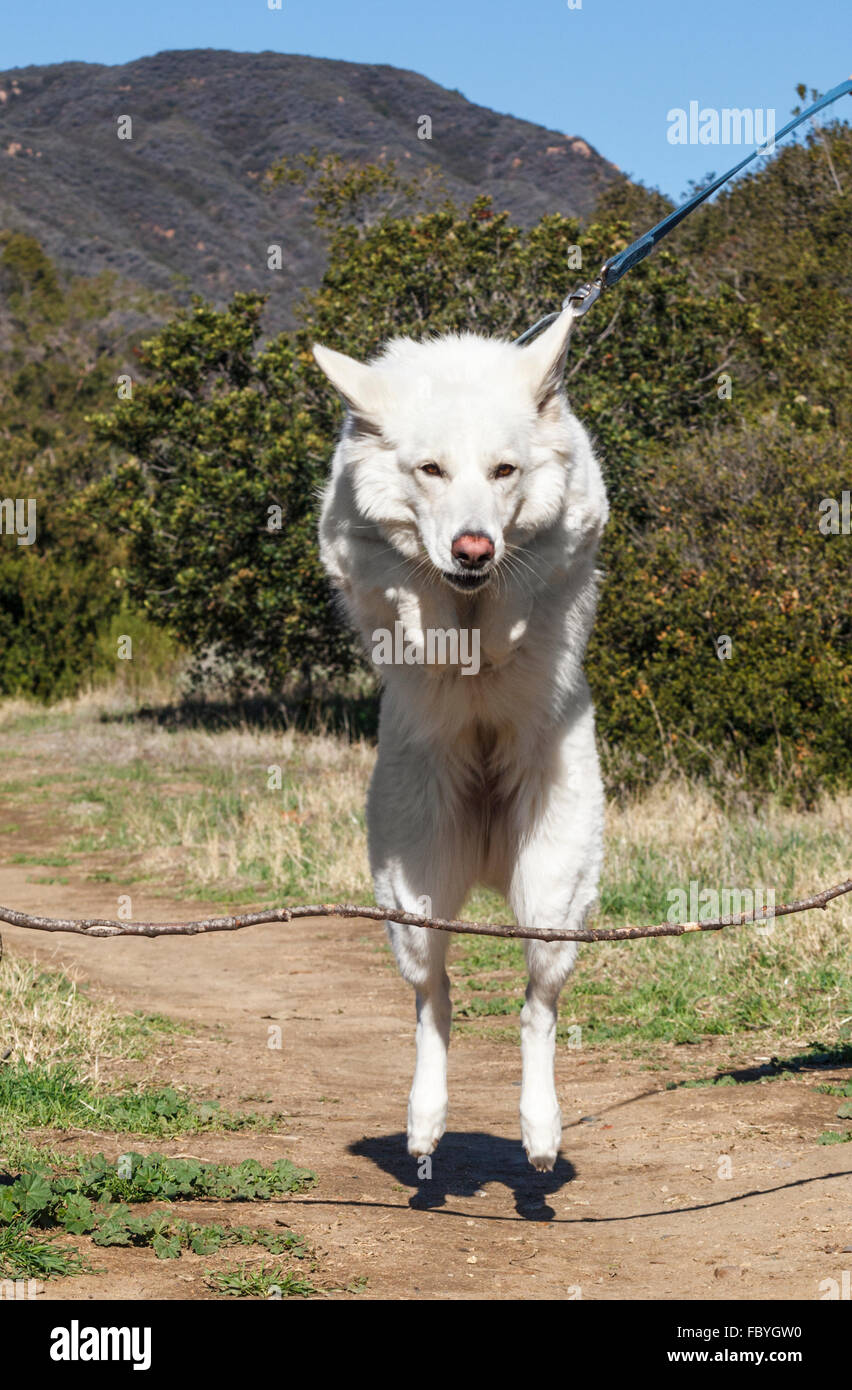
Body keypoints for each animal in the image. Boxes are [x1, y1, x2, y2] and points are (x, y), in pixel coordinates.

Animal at [315, 307, 608, 1173]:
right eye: (431, 470)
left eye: (505, 470)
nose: (473, 547)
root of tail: (482, 855)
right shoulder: (352, 550)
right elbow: (409, 580)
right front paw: (441, 627)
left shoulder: (576, 530)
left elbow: (531, 571)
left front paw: (496, 620)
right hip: (413, 902)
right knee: (433, 1004)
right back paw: (425, 1122)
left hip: (552, 900)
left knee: (537, 1009)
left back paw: (540, 1133)